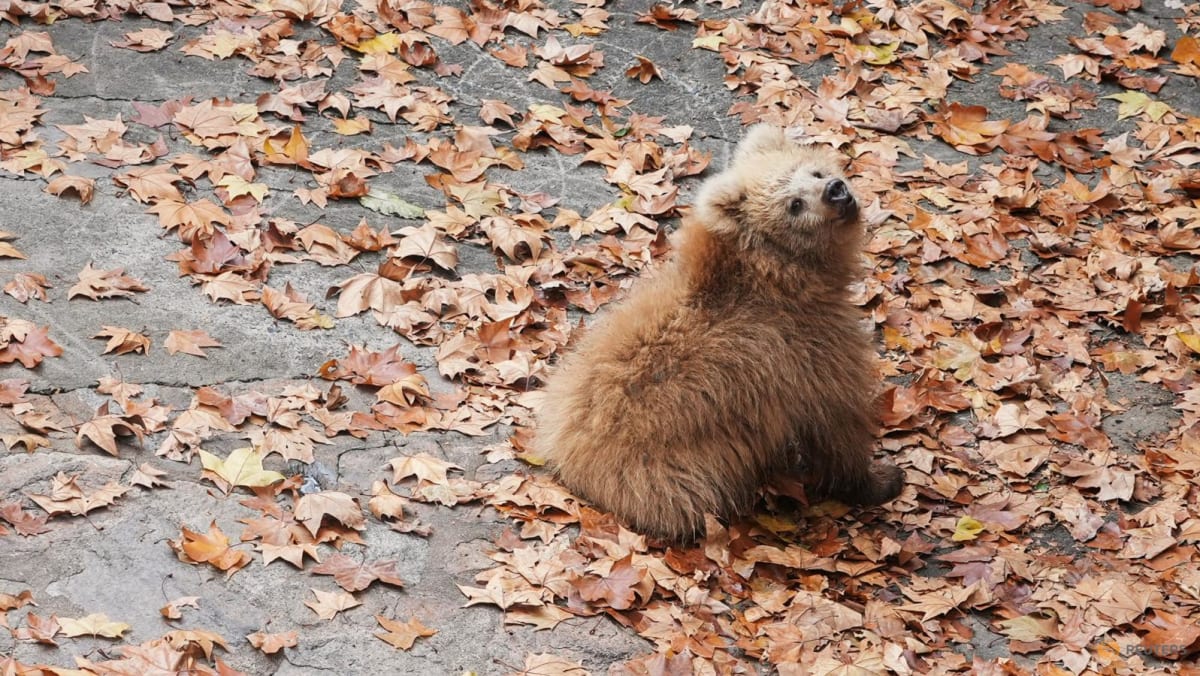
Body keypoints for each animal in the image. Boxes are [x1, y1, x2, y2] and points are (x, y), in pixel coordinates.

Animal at [534, 125, 904, 542]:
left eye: (814, 172)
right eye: (794, 204)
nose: (836, 190)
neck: (784, 278)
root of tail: (570, 463)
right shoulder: (806, 352)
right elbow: (837, 423)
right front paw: (882, 480)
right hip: (670, 471)